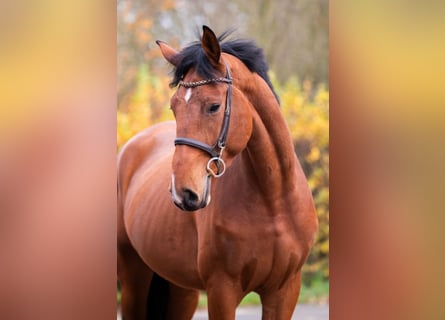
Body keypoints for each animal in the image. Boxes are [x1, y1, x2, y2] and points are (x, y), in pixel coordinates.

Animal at [117, 26, 320, 318]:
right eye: (174, 107)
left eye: (213, 106)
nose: (183, 193)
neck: (275, 201)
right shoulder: (222, 290)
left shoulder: (285, 291)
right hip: (134, 278)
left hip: (181, 290)